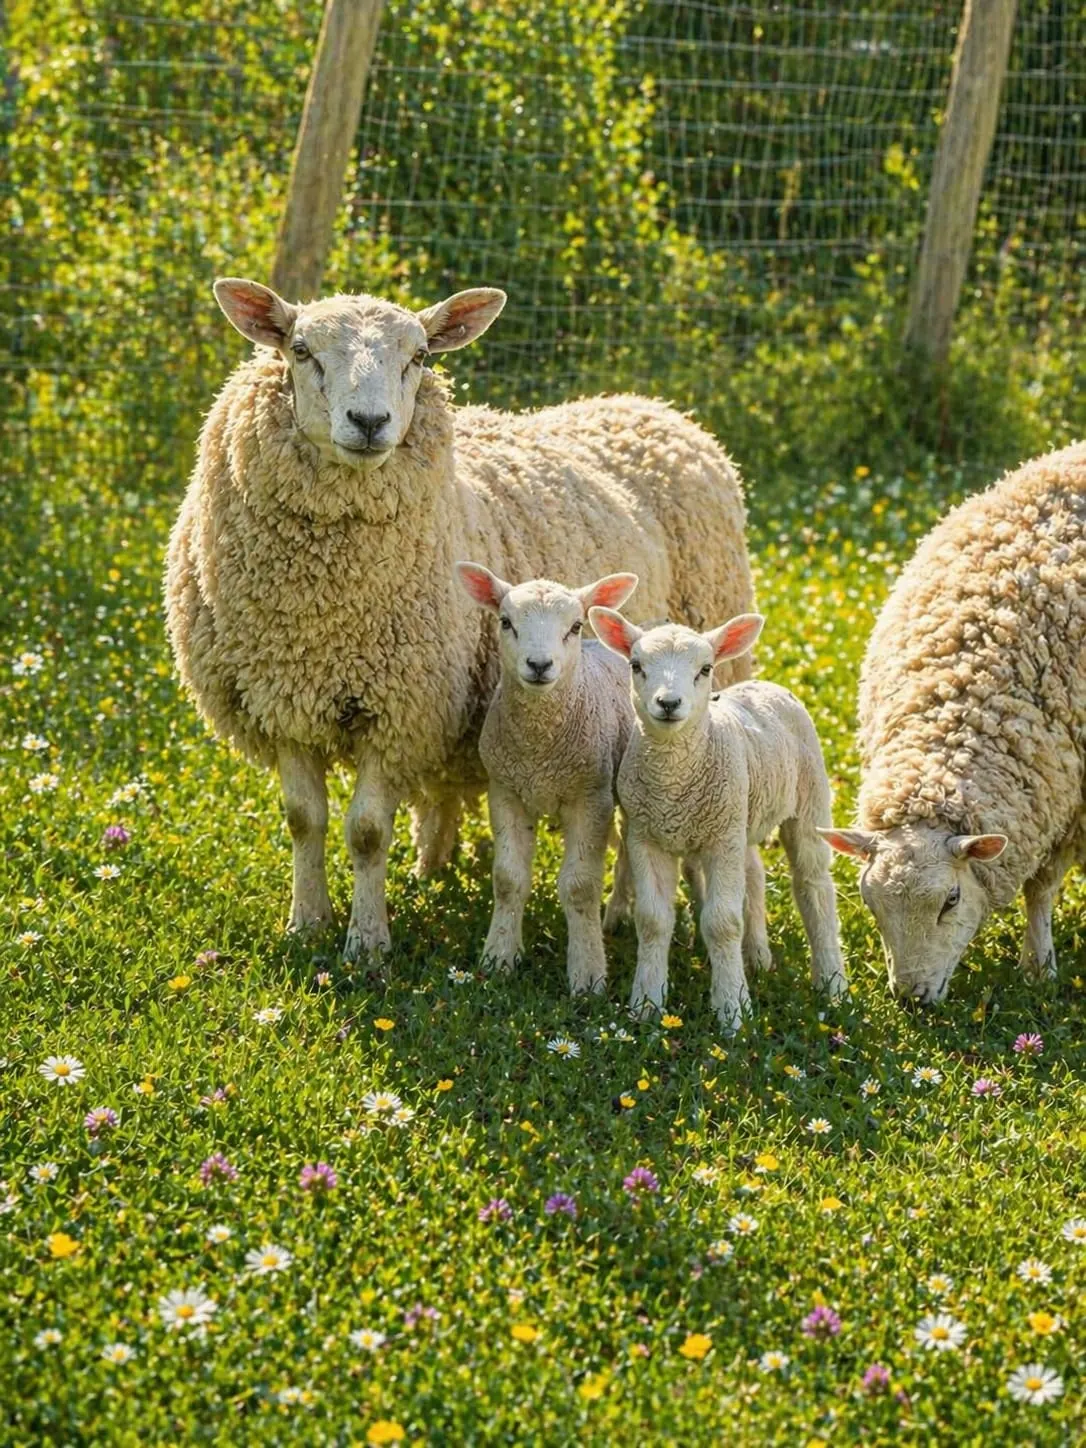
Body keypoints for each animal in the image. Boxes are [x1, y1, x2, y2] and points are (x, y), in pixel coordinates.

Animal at [455, 563, 638, 994]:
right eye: (506, 622)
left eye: (575, 626)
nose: (539, 666)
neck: (540, 750)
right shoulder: (505, 791)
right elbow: (507, 879)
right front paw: (499, 957)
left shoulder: (590, 798)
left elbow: (580, 886)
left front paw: (588, 974)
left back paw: (620, 913)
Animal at [591, 608, 847, 1032]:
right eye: (636, 665)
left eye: (705, 668)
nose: (668, 702)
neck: (674, 777)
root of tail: (764, 683)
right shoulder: (647, 836)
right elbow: (653, 920)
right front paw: (646, 1002)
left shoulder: (720, 841)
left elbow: (722, 923)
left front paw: (732, 1010)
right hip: (740, 815)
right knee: (755, 874)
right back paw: (757, 954)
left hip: (805, 802)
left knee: (814, 885)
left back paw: (832, 983)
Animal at [821, 441, 1086, 1004]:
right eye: (871, 903)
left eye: (951, 900)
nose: (911, 999)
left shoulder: (1071, 804)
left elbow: (1041, 887)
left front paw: (1039, 965)